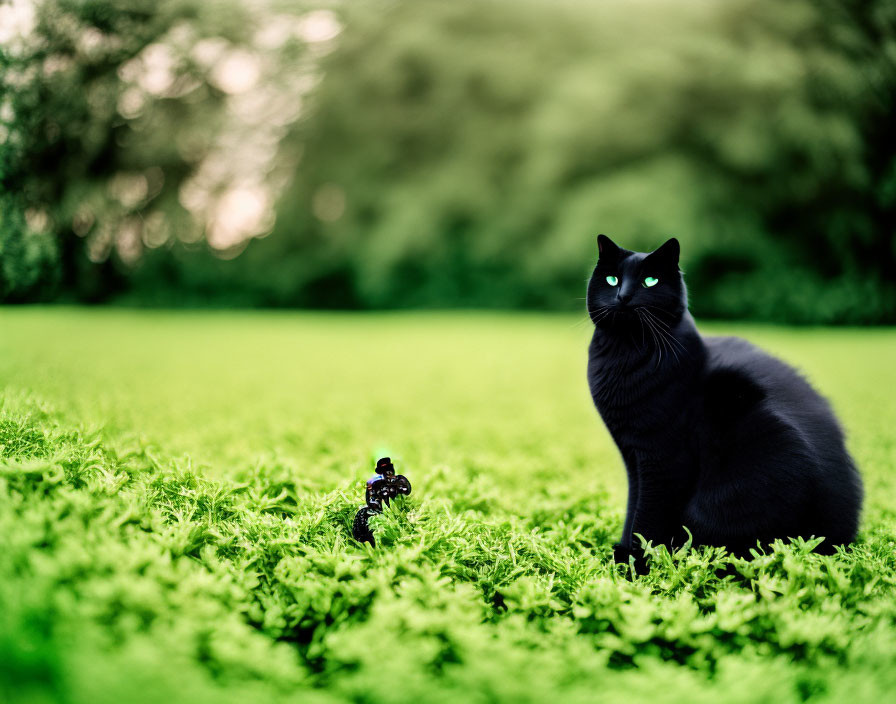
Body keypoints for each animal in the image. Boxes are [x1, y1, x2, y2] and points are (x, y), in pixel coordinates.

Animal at [588, 234, 860, 568]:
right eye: (612, 279)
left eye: (650, 281)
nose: (623, 296)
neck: (623, 354)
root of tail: (845, 536)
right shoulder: (633, 458)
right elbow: (633, 507)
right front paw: (625, 552)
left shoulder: (663, 458)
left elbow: (648, 515)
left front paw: (636, 564)